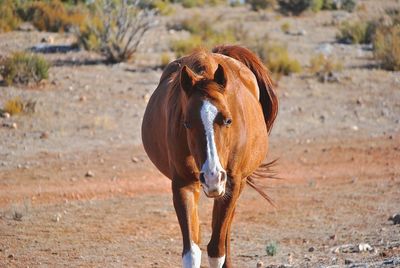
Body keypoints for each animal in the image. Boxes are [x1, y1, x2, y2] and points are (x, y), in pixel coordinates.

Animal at [141, 45, 278, 266]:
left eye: (228, 120)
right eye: (187, 123)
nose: (212, 176)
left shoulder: (231, 184)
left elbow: (216, 250)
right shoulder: (184, 185)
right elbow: (192, 251)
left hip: (236, 186)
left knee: (224, 234)